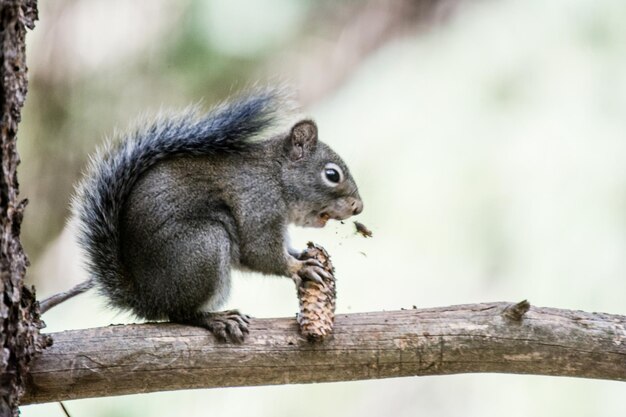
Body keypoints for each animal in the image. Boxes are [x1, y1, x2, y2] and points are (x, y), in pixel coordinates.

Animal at [39, 88, 360, 342]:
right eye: (332, 175)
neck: (275, 176)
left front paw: (303, 255)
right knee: (179, 314)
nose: (359, 207)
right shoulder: (257, 203)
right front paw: (300, 268)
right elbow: (259, 252)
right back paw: (216, 318)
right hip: (204, 245)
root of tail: (148, 298)